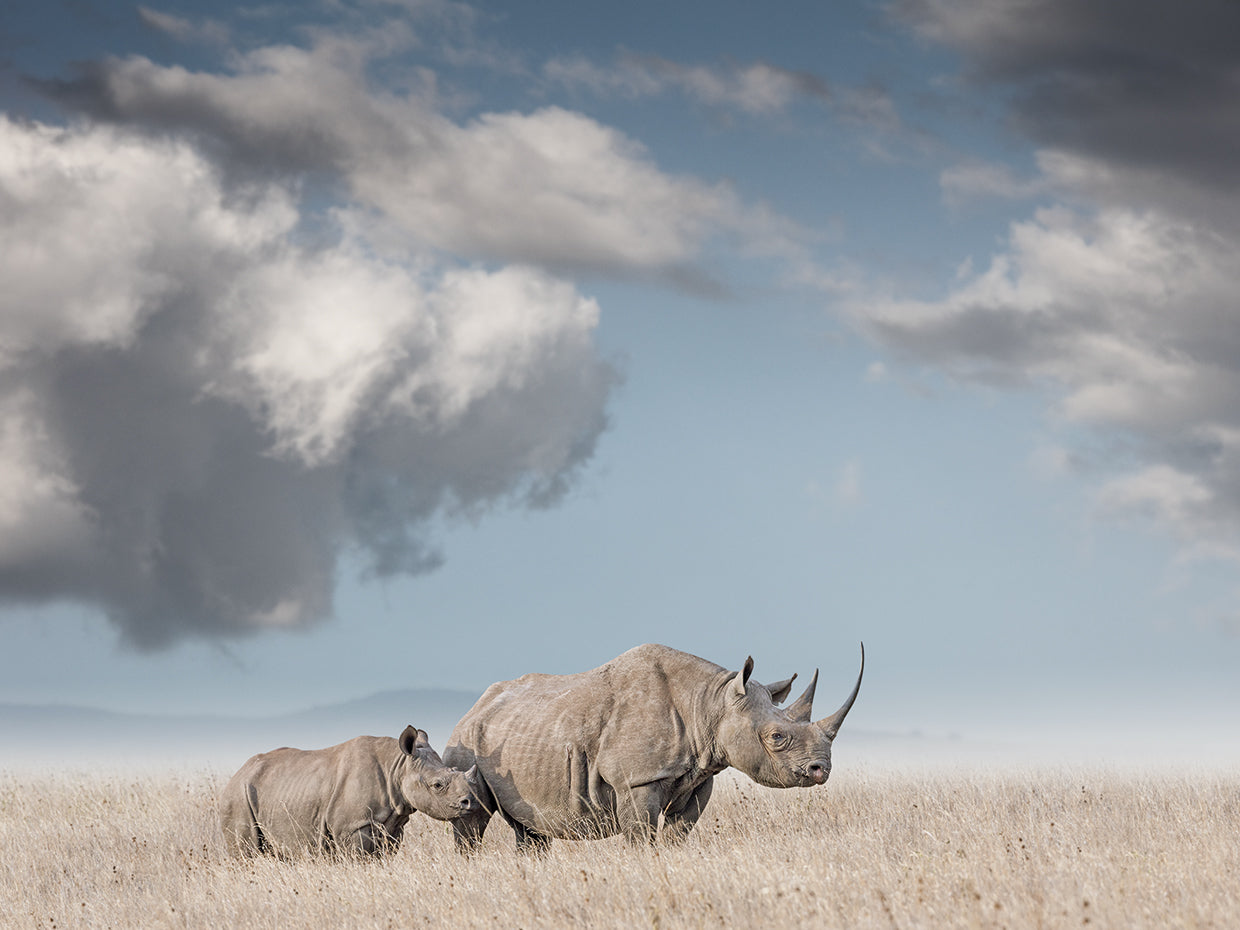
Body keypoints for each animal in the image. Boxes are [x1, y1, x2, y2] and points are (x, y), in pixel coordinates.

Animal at [220, 725, 481, 857]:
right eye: (438, 785)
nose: (470, 803)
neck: (397, 767)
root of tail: (237, 774)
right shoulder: (352, 826)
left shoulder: (393, 826)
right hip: (238, 795)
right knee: (247, 854)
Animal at [443, 642, 863, 852]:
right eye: (776, 737)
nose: (821, 770)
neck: (710, 702)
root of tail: (473, 708)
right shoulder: (637, 780)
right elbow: (642, 836)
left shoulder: (699, 777)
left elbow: (679, 831)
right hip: (466, 744)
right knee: (471, 820)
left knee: (530, 831)